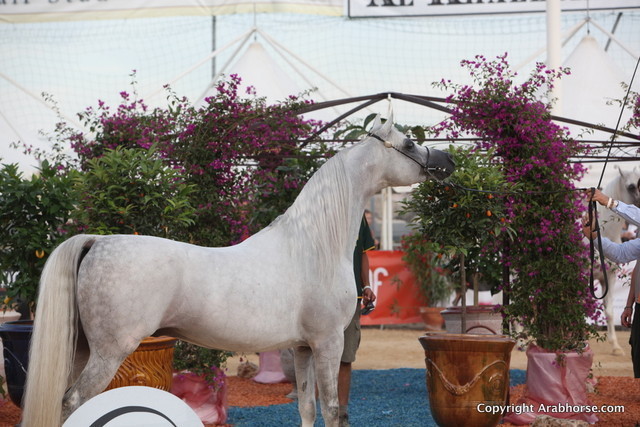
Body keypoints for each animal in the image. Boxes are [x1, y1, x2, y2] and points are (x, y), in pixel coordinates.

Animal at [21, 114, 455, 426]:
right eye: (409, 143)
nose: (447, 161)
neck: (313, 245)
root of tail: (98, 241)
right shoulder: (327, 343)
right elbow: (332, 410)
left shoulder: (302, 348)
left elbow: (307, 409)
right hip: (110, 352)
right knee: (75, 402)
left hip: (83, 349)